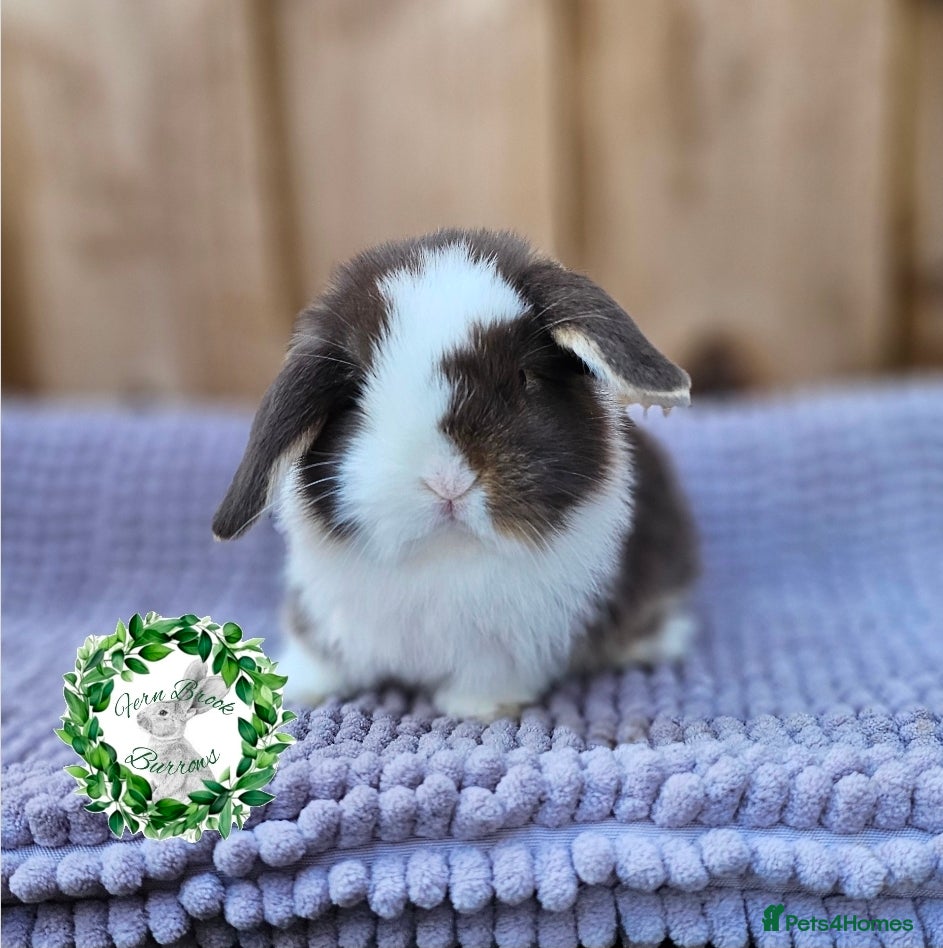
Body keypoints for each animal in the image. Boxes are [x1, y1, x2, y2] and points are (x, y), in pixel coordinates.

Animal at [135, 660, 229, 800]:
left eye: (163, 712)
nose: (138, 717)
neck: (168, 741)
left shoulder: (176, 770)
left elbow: (168, 787)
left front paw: (155, 799)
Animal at [213, 229, 698, 721]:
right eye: (356, 398)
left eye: (524, 377)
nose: (448, 482)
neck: (444, 556)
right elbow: (319, 653)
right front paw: (297, 687)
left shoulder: (508, 644)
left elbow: (487, 676)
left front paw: (479, 708)